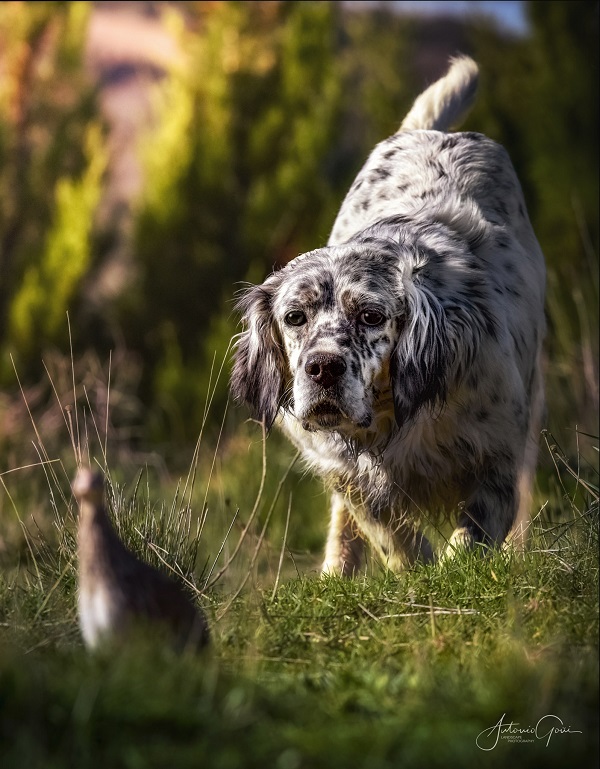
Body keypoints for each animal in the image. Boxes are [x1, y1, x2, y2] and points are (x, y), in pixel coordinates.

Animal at [229, 57, 544, 572]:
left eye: (372, 316)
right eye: (294, 317)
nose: (322, 368)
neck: (393, 418)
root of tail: (430, 134)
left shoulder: (497, 455)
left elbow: (471, 537)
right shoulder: (346, 470)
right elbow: (388, 531)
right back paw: (335, 573)